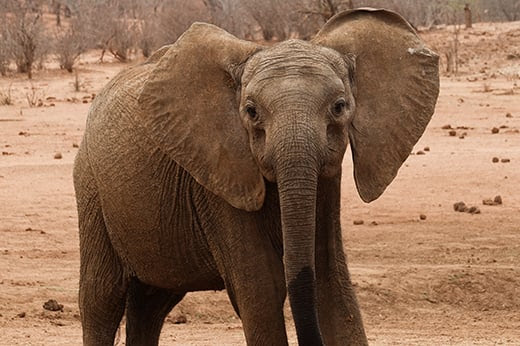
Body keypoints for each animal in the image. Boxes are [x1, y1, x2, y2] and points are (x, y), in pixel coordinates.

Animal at [74, 6, 438, 346]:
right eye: (251, 112)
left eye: (339, 107)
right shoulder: (220, 176)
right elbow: (263, 289)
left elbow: (333, 283)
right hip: (89, 184)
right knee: (102, 297)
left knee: (152, 301)